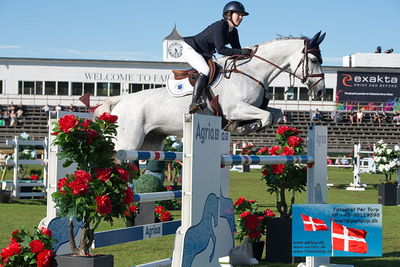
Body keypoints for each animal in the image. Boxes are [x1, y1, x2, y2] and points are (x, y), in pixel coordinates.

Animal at [95, 31, 326, 151]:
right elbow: (267, 116)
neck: (252, 71)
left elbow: (275, 114)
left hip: (151, 143)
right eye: (314, 59)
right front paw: (245, 128)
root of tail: (119, 101)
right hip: (128, 143)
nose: (320, 92)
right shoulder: (235, 108)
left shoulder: (250, 108)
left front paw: (246, 127)